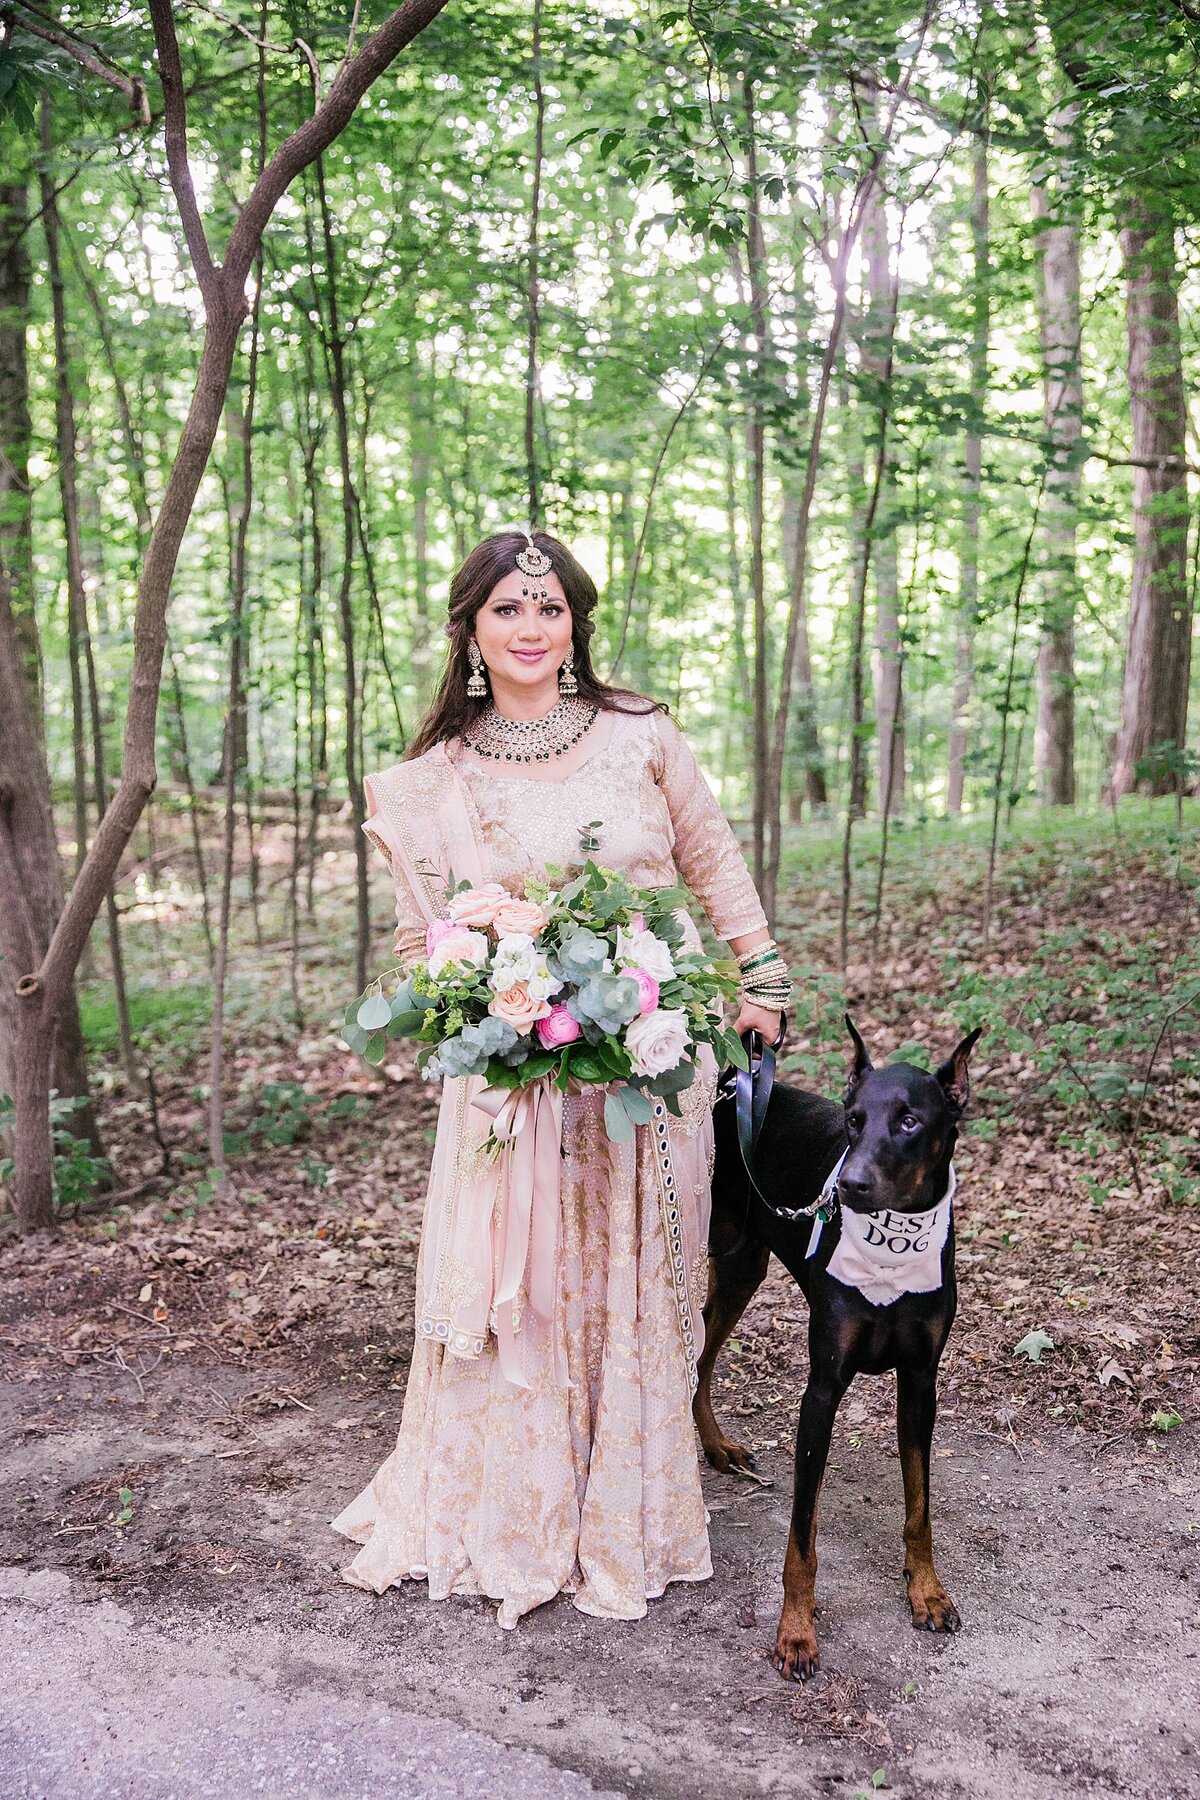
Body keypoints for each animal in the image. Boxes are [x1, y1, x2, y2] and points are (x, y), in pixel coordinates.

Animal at [694, 1022, 985, 1677]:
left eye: (910, 1121)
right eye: (853, 1120)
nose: (849, 1185)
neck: (892, 1249)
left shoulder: (921, 1382)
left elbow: (919, 1507)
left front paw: (927, 1591)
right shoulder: (822, 1389)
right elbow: (802, 1537)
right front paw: (796, 1632)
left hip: (742, 1266)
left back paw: (716, 1447)